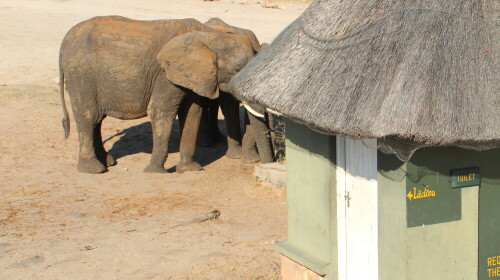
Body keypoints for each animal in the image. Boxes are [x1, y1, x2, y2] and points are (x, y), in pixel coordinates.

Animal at [59, 15, 260, 173]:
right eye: (237, 69)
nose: (253, 161)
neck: (210, 36)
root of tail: (65, 41)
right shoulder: (165, 75)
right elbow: (161, 111)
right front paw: (155, 172)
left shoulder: (194, 76)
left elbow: (193, 112)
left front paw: (189, 170)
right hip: (80, 74)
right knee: (88, 115)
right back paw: (94, 169)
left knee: (97, 119)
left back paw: (108, 162)